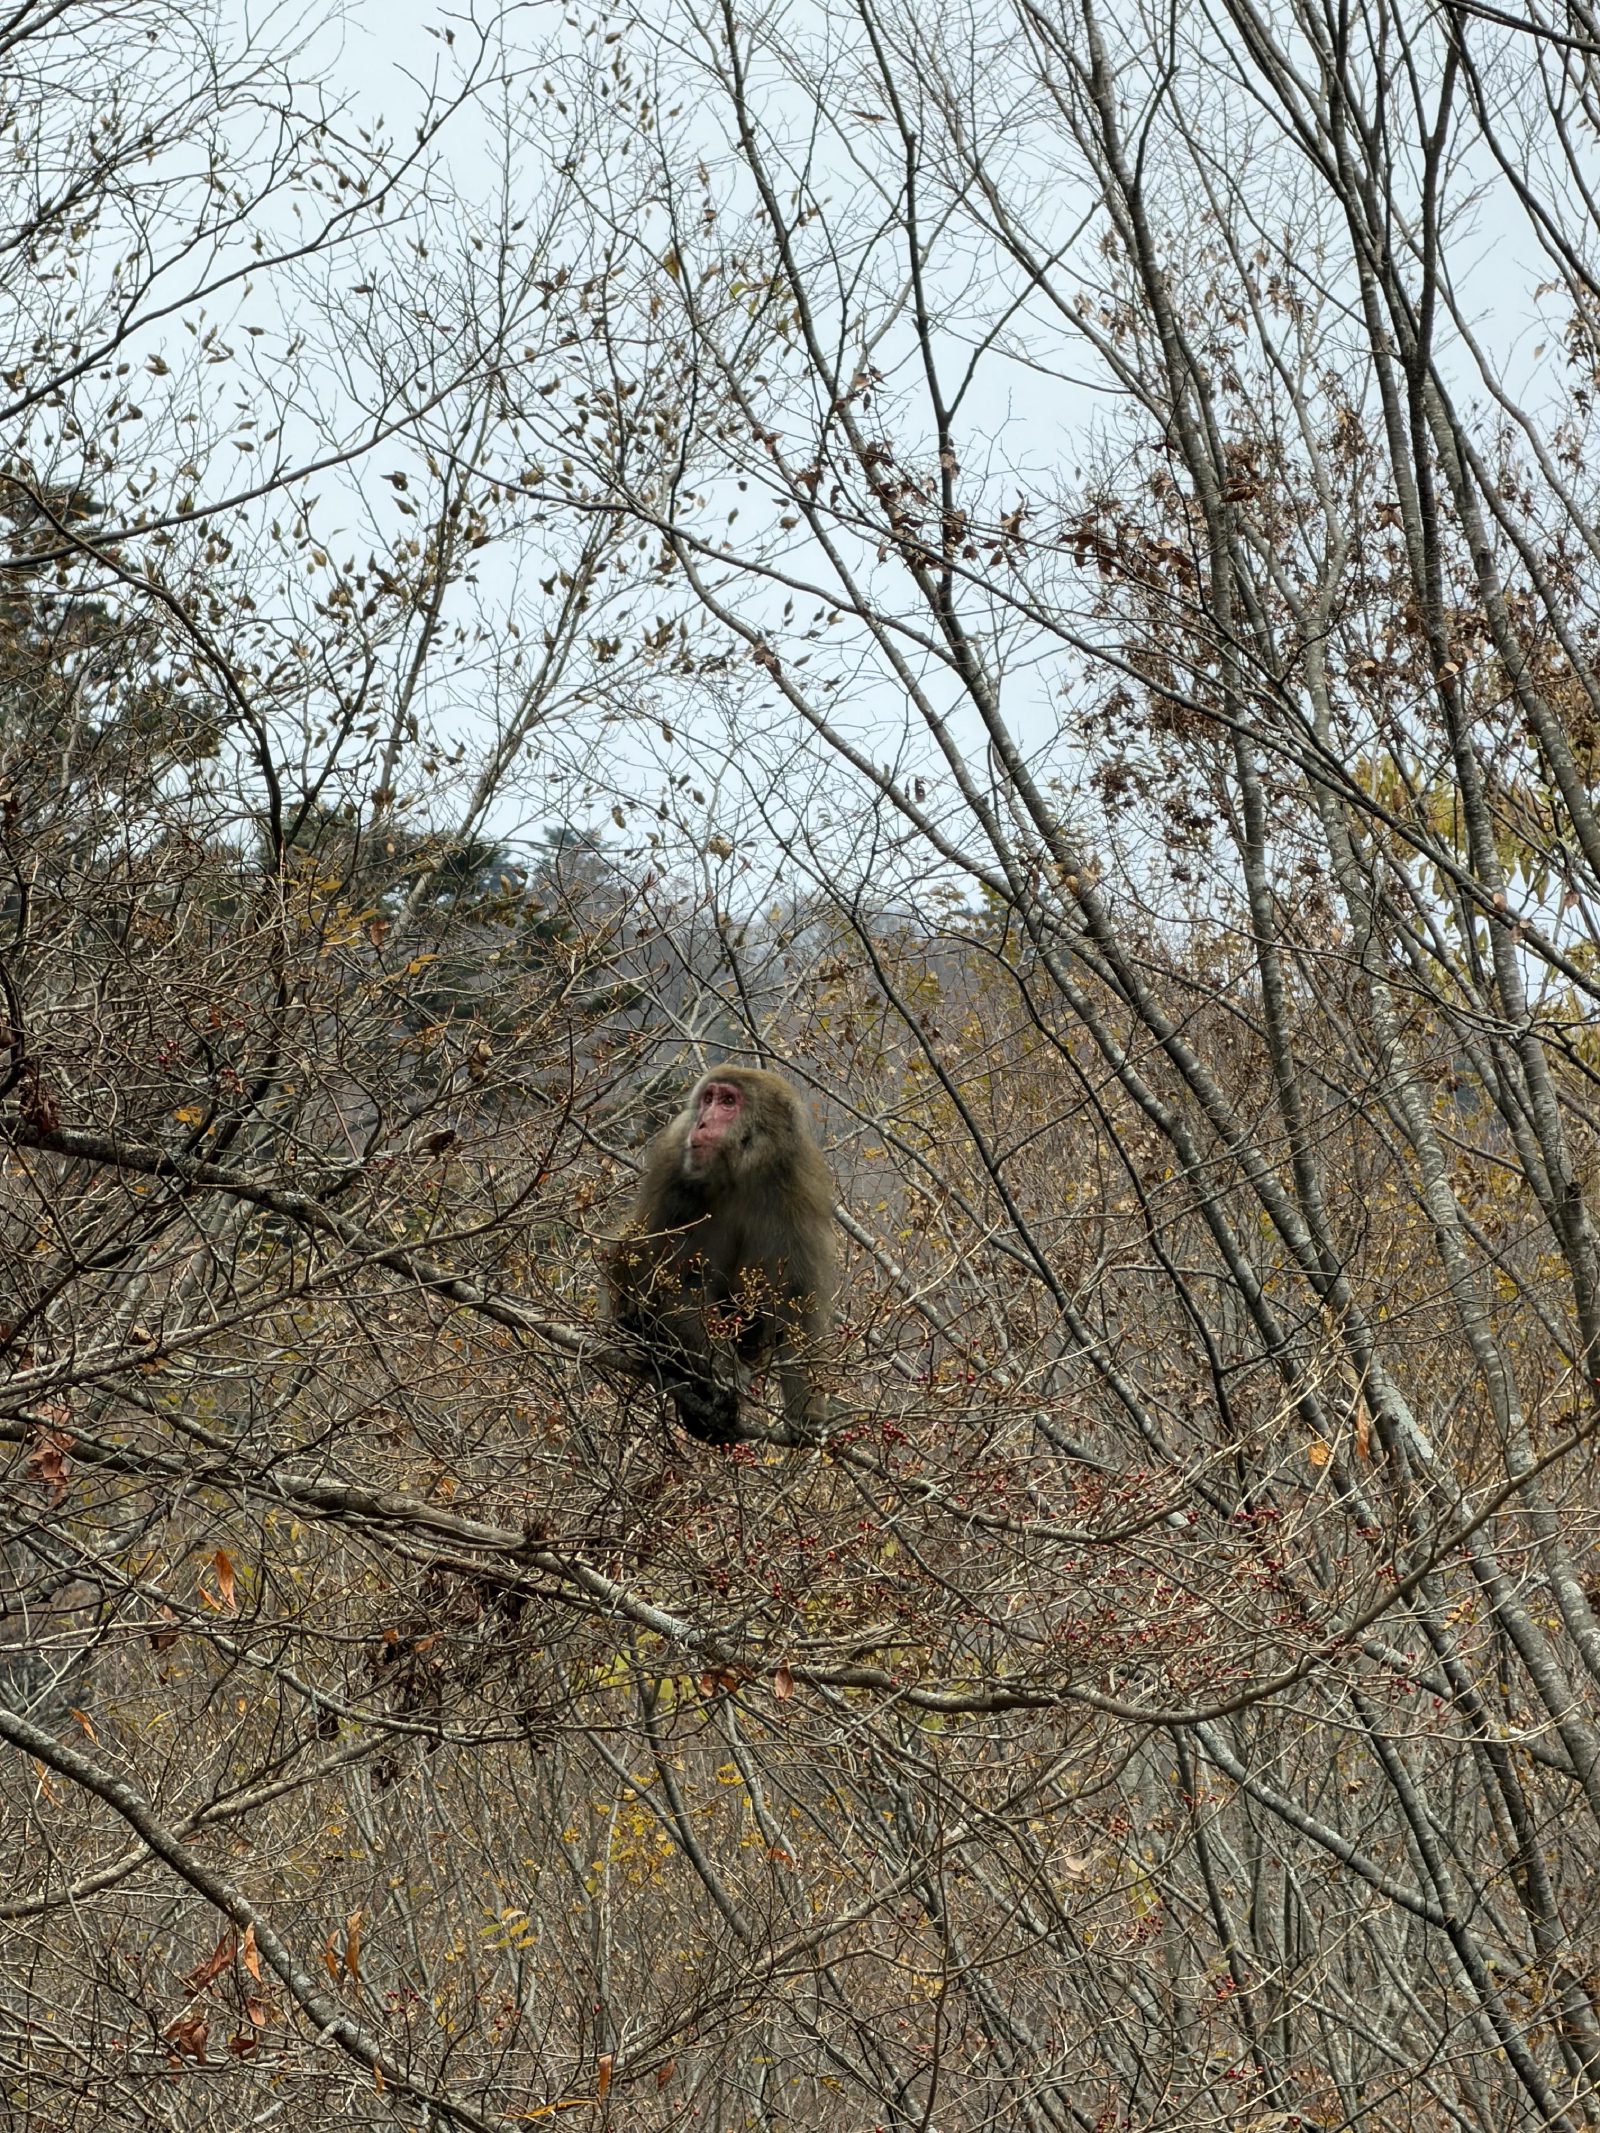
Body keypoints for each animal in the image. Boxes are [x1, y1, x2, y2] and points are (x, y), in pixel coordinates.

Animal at [605, 1066, 837, 1444]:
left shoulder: (800, 1183)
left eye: (728, 1101)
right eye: (708, 1099)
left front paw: (807, 1415)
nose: (702, 1122)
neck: (740, 1171)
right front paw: (726, 1373)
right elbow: (671, 1278)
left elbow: (795, 1301)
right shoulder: (674, 1162)